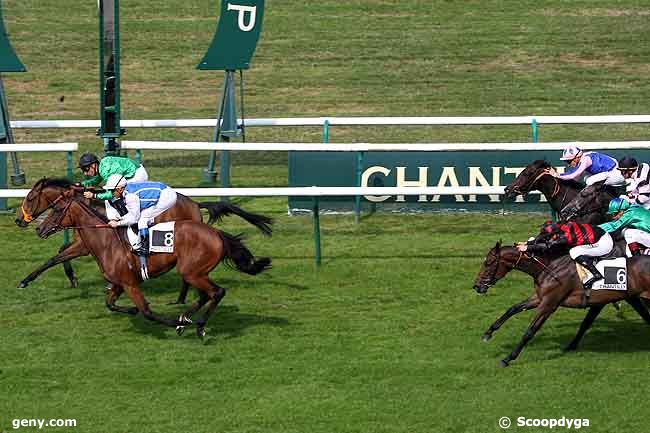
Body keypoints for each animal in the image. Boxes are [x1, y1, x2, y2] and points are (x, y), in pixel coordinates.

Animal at [15, 177, 272, 302]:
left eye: (30, 198)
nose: (19, 220)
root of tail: (195, 203)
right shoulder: (85, 242)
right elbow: (58, 254)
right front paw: (68, 278)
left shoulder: (87, 243)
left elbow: (57, 255)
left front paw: (26, 281)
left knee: (188, 274)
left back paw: (181, 300)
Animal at [36, 190, 270, 338]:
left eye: (57, 210)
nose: (39, 229)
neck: (107, 241)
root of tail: (217, 234)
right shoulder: (120, 283)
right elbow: (109, 303)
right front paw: (132, 310)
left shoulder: (130, 284)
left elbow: (147, 311)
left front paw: (175, 323)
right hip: (195, 272)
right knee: (206, 295)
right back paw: (186, 316)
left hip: (192, 272)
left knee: (217, 292)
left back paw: (196, 325)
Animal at [470, 241, 648, 366]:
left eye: (488, 263)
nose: (477, 286)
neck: (550, 267)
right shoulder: (540, 297)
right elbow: (512, 309)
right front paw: (488, 333)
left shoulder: (550, 303)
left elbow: (530, 331)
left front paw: (508, 358)